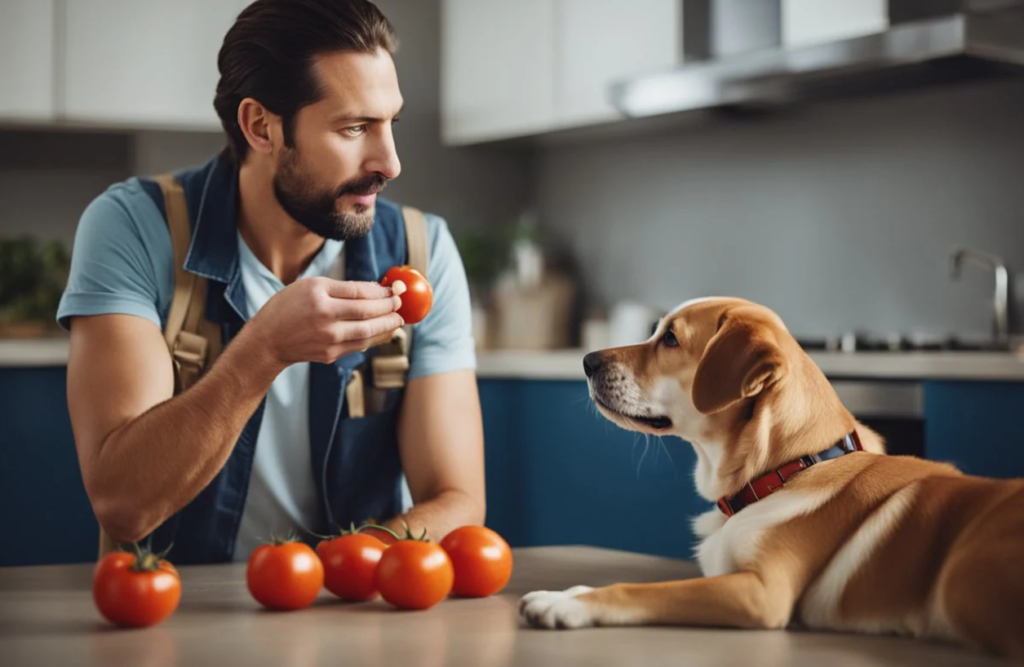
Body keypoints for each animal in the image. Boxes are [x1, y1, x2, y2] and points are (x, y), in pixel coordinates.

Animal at [520, 299, 1024, 663]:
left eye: (670, 339)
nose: (586, 360)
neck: (788, 467)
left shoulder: (762, 593)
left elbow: (640, 590)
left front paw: (564, 603)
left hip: (960, 578)